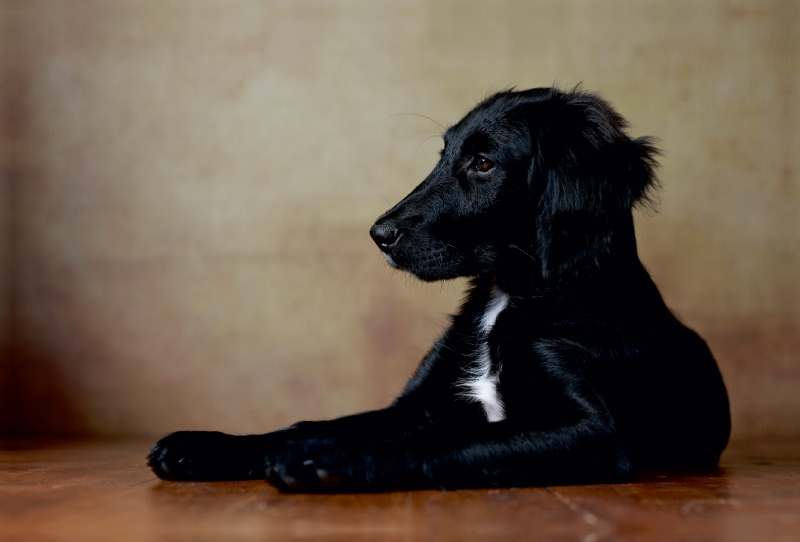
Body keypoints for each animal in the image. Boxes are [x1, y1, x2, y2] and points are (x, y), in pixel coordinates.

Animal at [148, 88, 732, 492]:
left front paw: (325, 457)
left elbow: (447, 436)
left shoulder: (593, 432)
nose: (378, 235)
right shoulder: (417, 403)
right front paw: (209, 446)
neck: (508, 298)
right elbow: (313, 421)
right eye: (444, 155)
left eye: (483, 163)